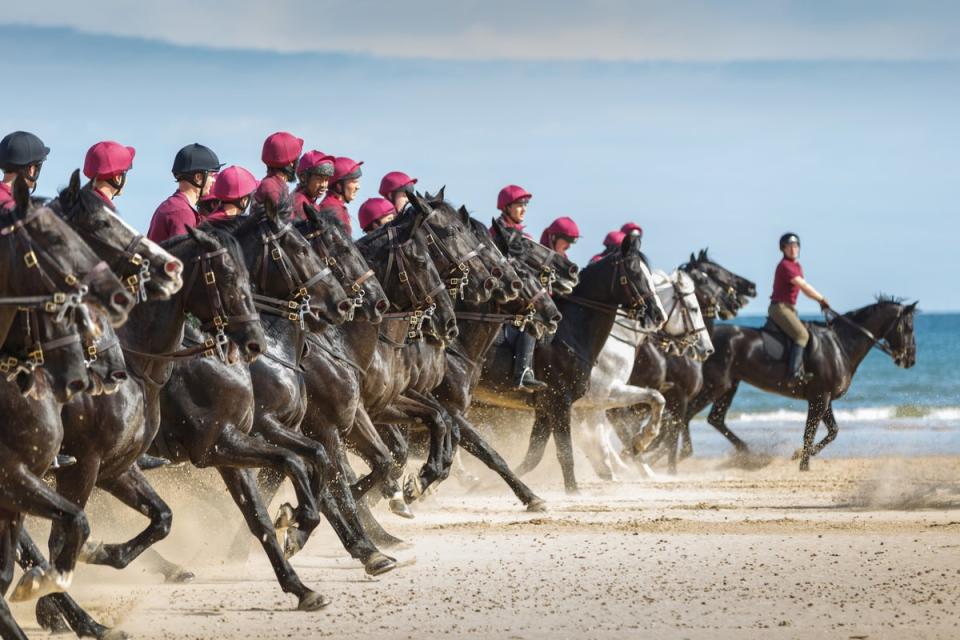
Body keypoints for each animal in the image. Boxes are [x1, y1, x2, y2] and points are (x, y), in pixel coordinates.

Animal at [688, 296, 916, 470]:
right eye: (909, 327)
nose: (910, 360)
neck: (840, 345)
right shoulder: (820, 398)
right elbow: (810, 432)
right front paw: (804, 464)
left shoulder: (824, 399)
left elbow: (832, 432)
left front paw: (798, 455)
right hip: (715, 386)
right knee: (685, 415)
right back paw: (683, 453)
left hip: (728, 386)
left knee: (714, 418)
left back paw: (745, 451)